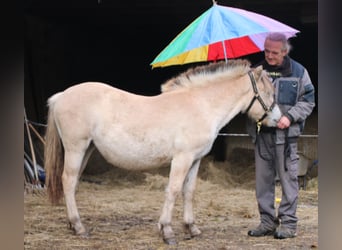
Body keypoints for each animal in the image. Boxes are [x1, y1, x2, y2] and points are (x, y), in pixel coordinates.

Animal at [44, 59, 282, 244]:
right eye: (269, 93)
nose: (279, 120)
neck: (201, 106)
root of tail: (61, 96)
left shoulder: (195, 160)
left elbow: (189, 192)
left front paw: (191, 228)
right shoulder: (182, 159)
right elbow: (173, 190)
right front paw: (167, 231)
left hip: (86, 150)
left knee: (73, 182)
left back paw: (73, 225)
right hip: (76, 148)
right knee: (68, 180)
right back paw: (79, 227)